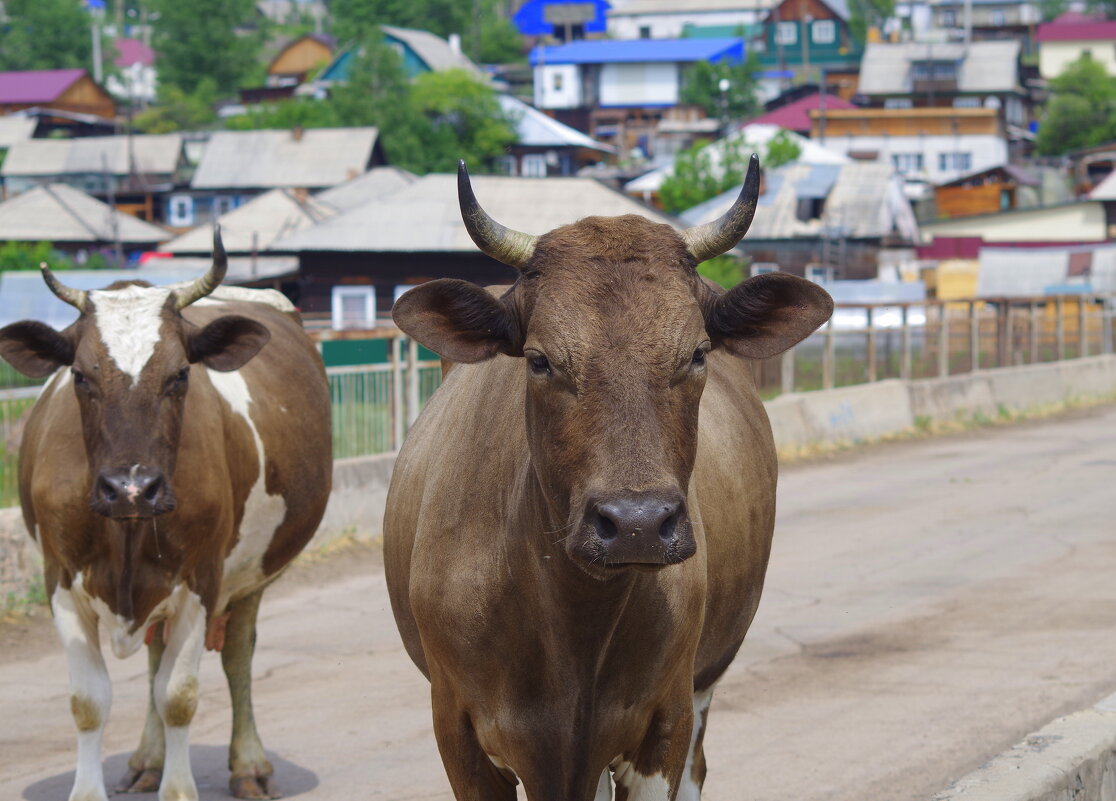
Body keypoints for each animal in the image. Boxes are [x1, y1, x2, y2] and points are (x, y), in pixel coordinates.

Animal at [0, 235, 330, 801]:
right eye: (80, 375)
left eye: (180, 374)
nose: (131, 488)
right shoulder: (59, 579)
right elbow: (88, 703)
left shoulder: (201, 578)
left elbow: (178, 695)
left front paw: (179, 789)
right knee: (157, 657)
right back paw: (147, 760)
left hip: (252, 576)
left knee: (236, 656)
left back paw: (248, 766)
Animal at [383, 158, 830, 801]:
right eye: (540, 360)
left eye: (697, 353)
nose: (637, 524)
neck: (572, 622)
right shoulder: (460, 733)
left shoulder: (663, 722)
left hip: (702, 688)